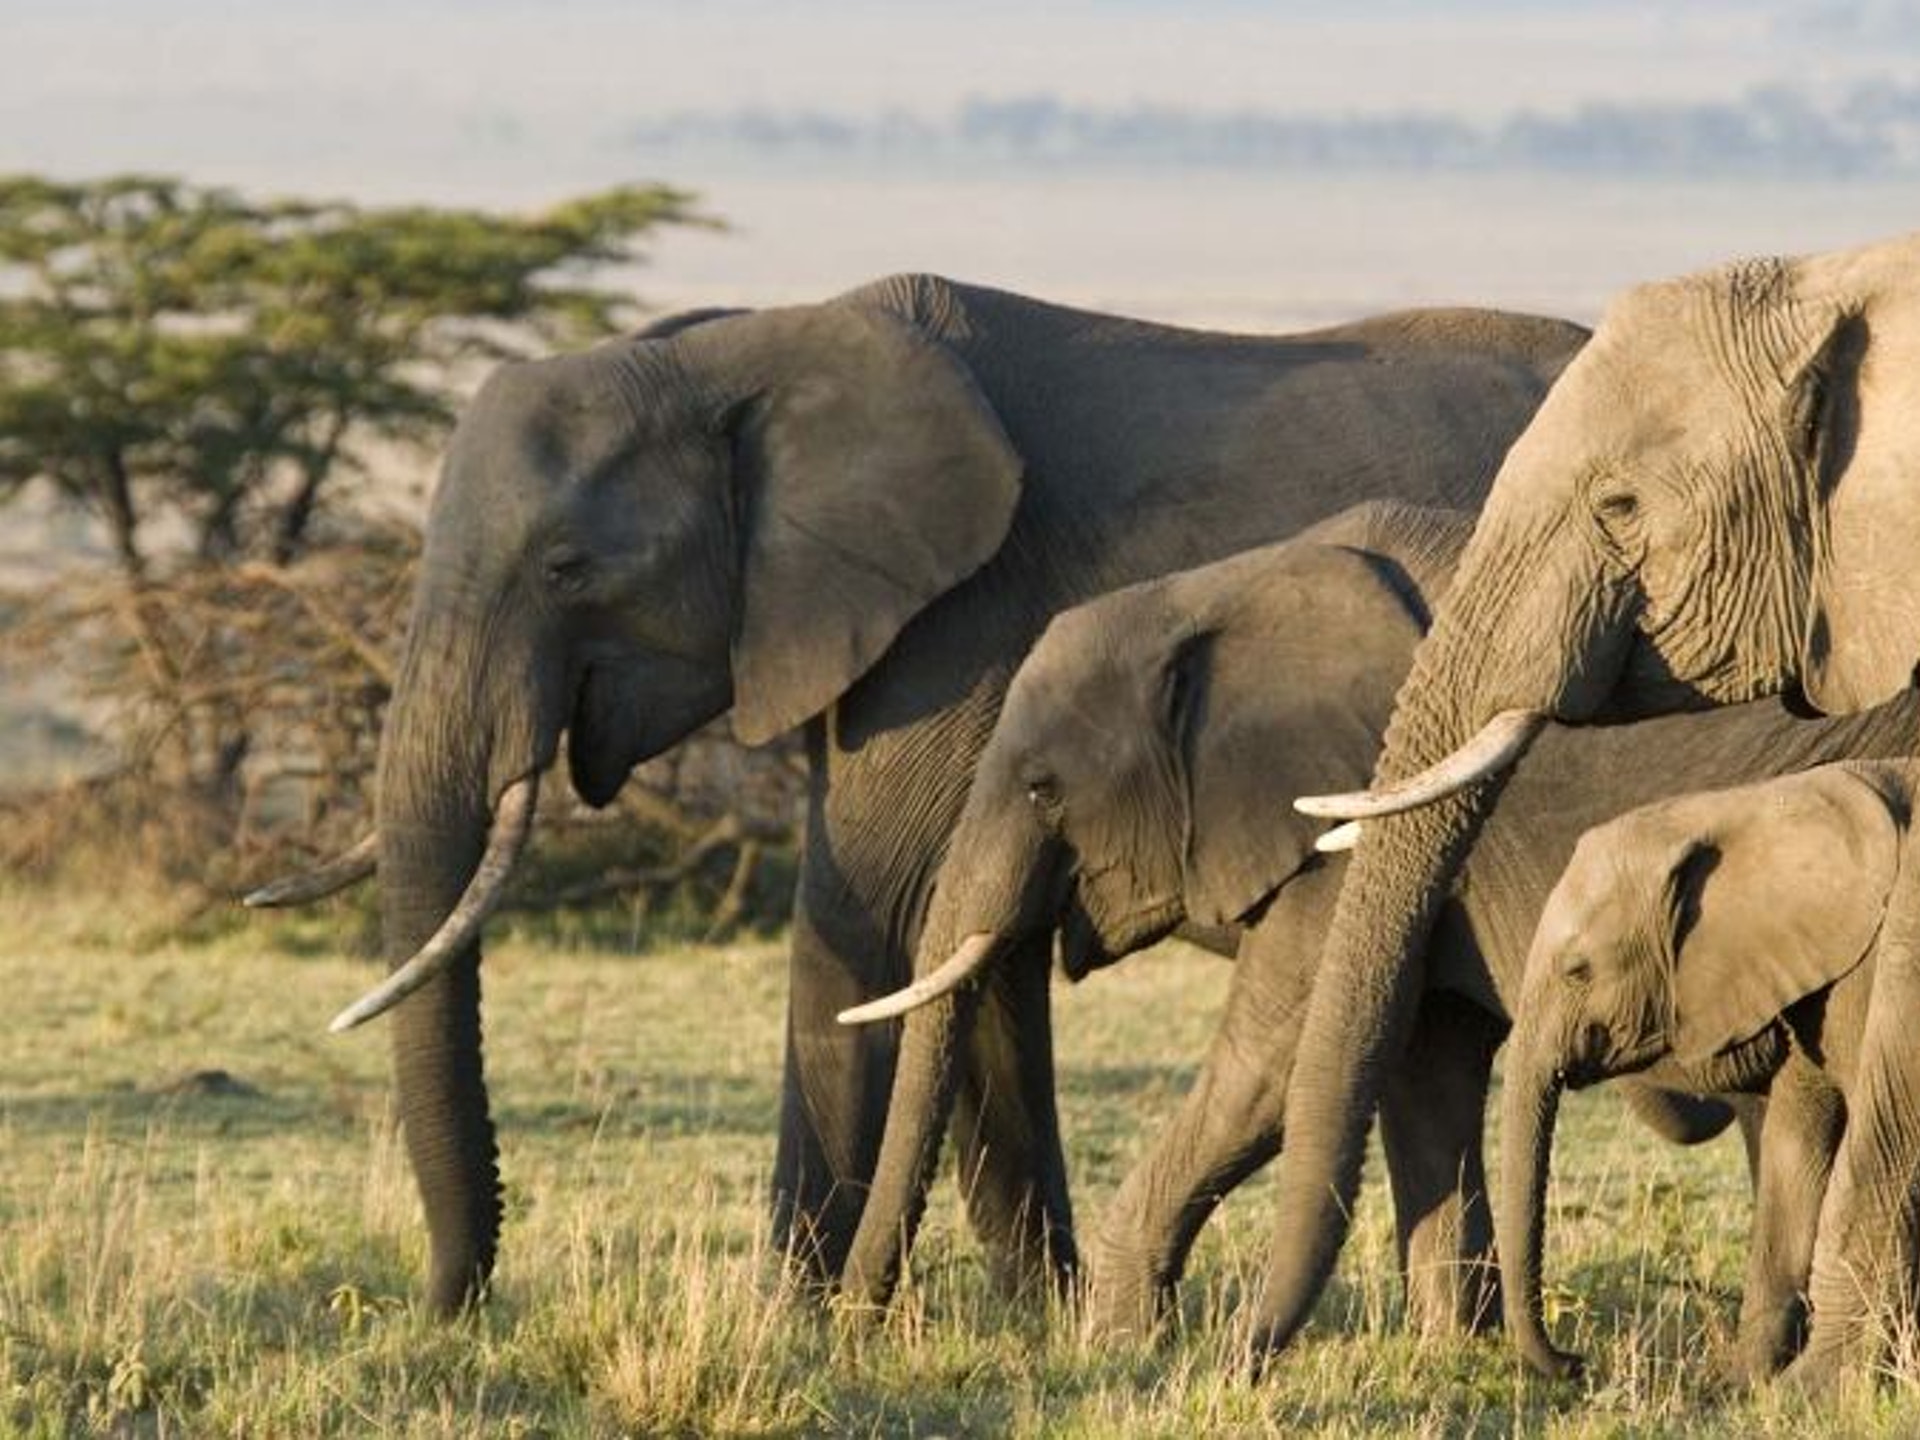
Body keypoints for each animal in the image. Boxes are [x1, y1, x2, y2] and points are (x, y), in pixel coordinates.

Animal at [1497, 760, 1920, 1390]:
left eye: (1577, 970)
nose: (1575, 1362)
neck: (1749, 806)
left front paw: (1806, 1394)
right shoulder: (1803, 972)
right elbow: (1796, 1143)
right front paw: (1742, 1386)